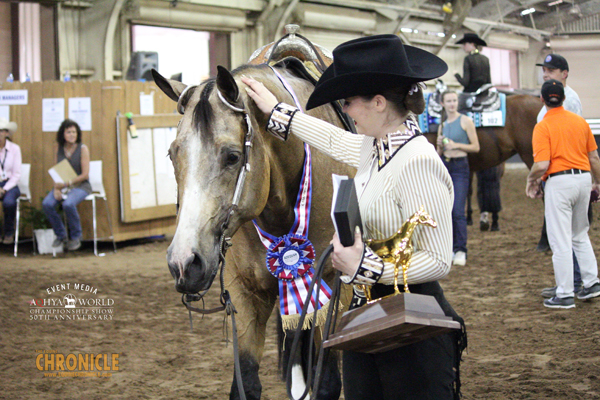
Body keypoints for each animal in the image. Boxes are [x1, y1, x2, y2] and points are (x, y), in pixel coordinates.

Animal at [152, 60, 354, 400]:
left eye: (233, 156)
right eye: (172, 153)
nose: (184, 262)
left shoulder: (333, 288)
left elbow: (327, 381)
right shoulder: (246, 294)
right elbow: (246, 382)